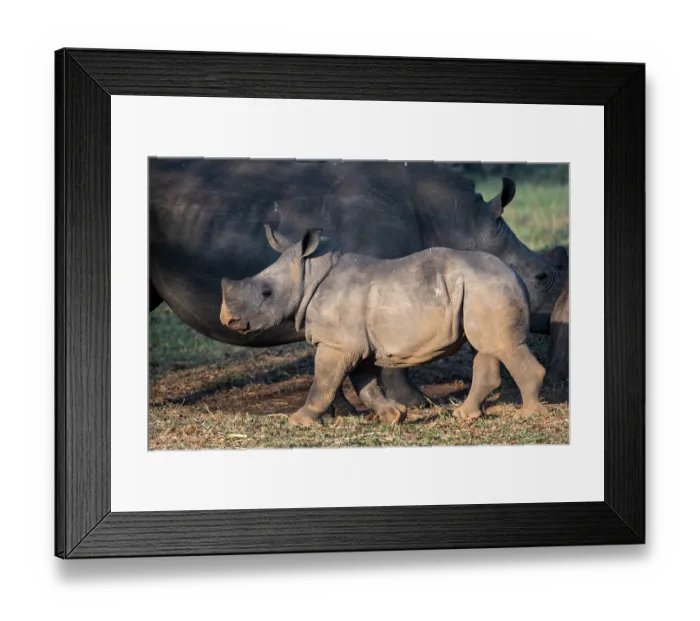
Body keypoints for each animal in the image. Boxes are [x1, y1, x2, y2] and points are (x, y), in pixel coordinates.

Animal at [220, 229, 547, 427]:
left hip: (488, 288)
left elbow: (323, 384)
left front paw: (298, 421)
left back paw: (528, 415)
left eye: (266, 293)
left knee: (503, 347)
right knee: (488, 346)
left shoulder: (338, 343)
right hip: (482, 290)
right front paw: (394, 416)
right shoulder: (356, 343)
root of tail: (517, 276)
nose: (227, 320)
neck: (308, 274)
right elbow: (364, 384)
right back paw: (465, 416)